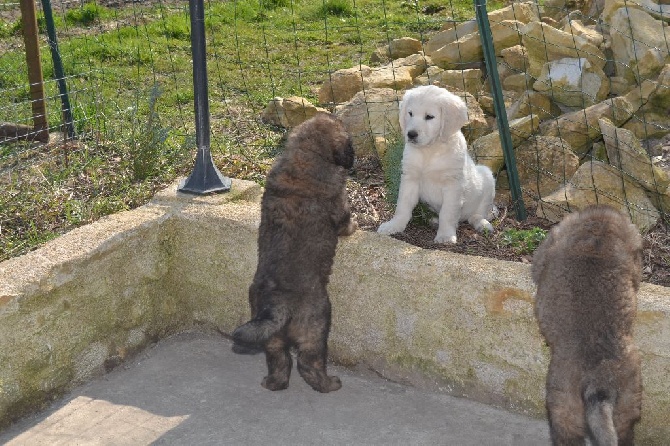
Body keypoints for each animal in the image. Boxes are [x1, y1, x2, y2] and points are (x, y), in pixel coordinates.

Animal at [232, 112, 356, 394]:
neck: (304, 155)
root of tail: (276, 305)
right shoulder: (339, 203)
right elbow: (345, 219)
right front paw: (354, 227)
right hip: (316, 325)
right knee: (307, 363)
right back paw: (329, 384)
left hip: (271, 337)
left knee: (280, 361)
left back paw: (272, 383)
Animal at [380, 83, 496, 244]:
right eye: (410, 113)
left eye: (429, 117)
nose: (411, 134)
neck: (429, 150)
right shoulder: (410, 178)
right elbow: (402, 205)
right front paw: (394, 225)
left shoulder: (453, 185)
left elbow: (447, 212)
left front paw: (446, 235)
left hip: (487, 180)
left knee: (477, 214)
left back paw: (482, 224)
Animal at [536, 206, 644, 446]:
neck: (598, 233)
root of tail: (600, 382)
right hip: (628, 400)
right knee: (624, 431)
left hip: (563, 401)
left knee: (567, 433)